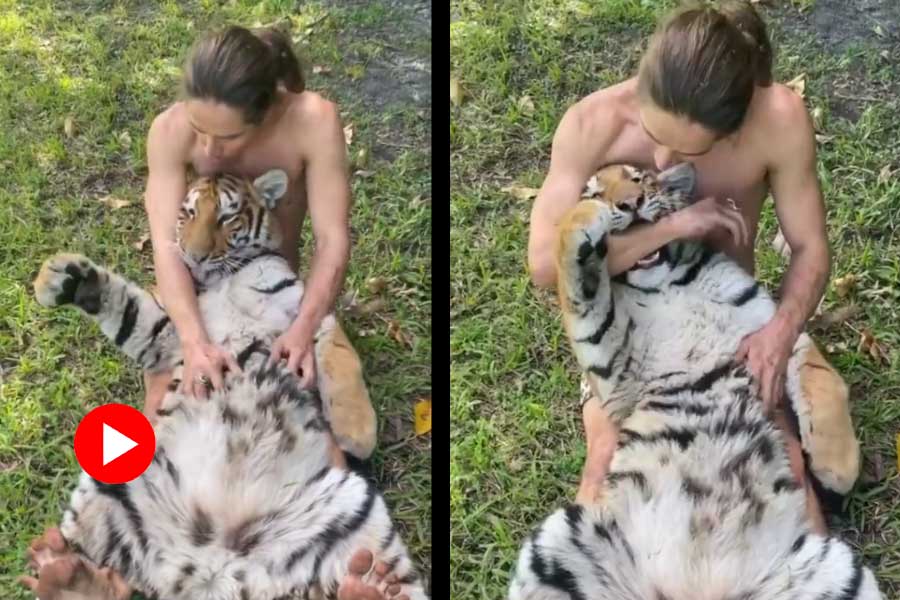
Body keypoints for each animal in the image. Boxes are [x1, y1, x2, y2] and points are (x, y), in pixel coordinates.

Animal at [29, 169, 430, 600]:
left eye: (226, 217)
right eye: (187, 214)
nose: (193, 256)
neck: (227, 277)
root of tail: (211, 571)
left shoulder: (307, 316)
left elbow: (339, 354)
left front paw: (357, 434)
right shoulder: (172, 341)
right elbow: (129, 309)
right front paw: (62, 277)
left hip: (356, 518)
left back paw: (373, 587)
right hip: (117, 476)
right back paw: (64, 575)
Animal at [510, 163, 884, 600]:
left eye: (639, 179)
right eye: (596, 191)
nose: (629, 204)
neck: (663, 282)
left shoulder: (772, 334)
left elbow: (824, 379)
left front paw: (835, 469)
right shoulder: (617, 370)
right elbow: (581, 296)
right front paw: (584, 219)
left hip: (837, 573)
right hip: (558, 544)